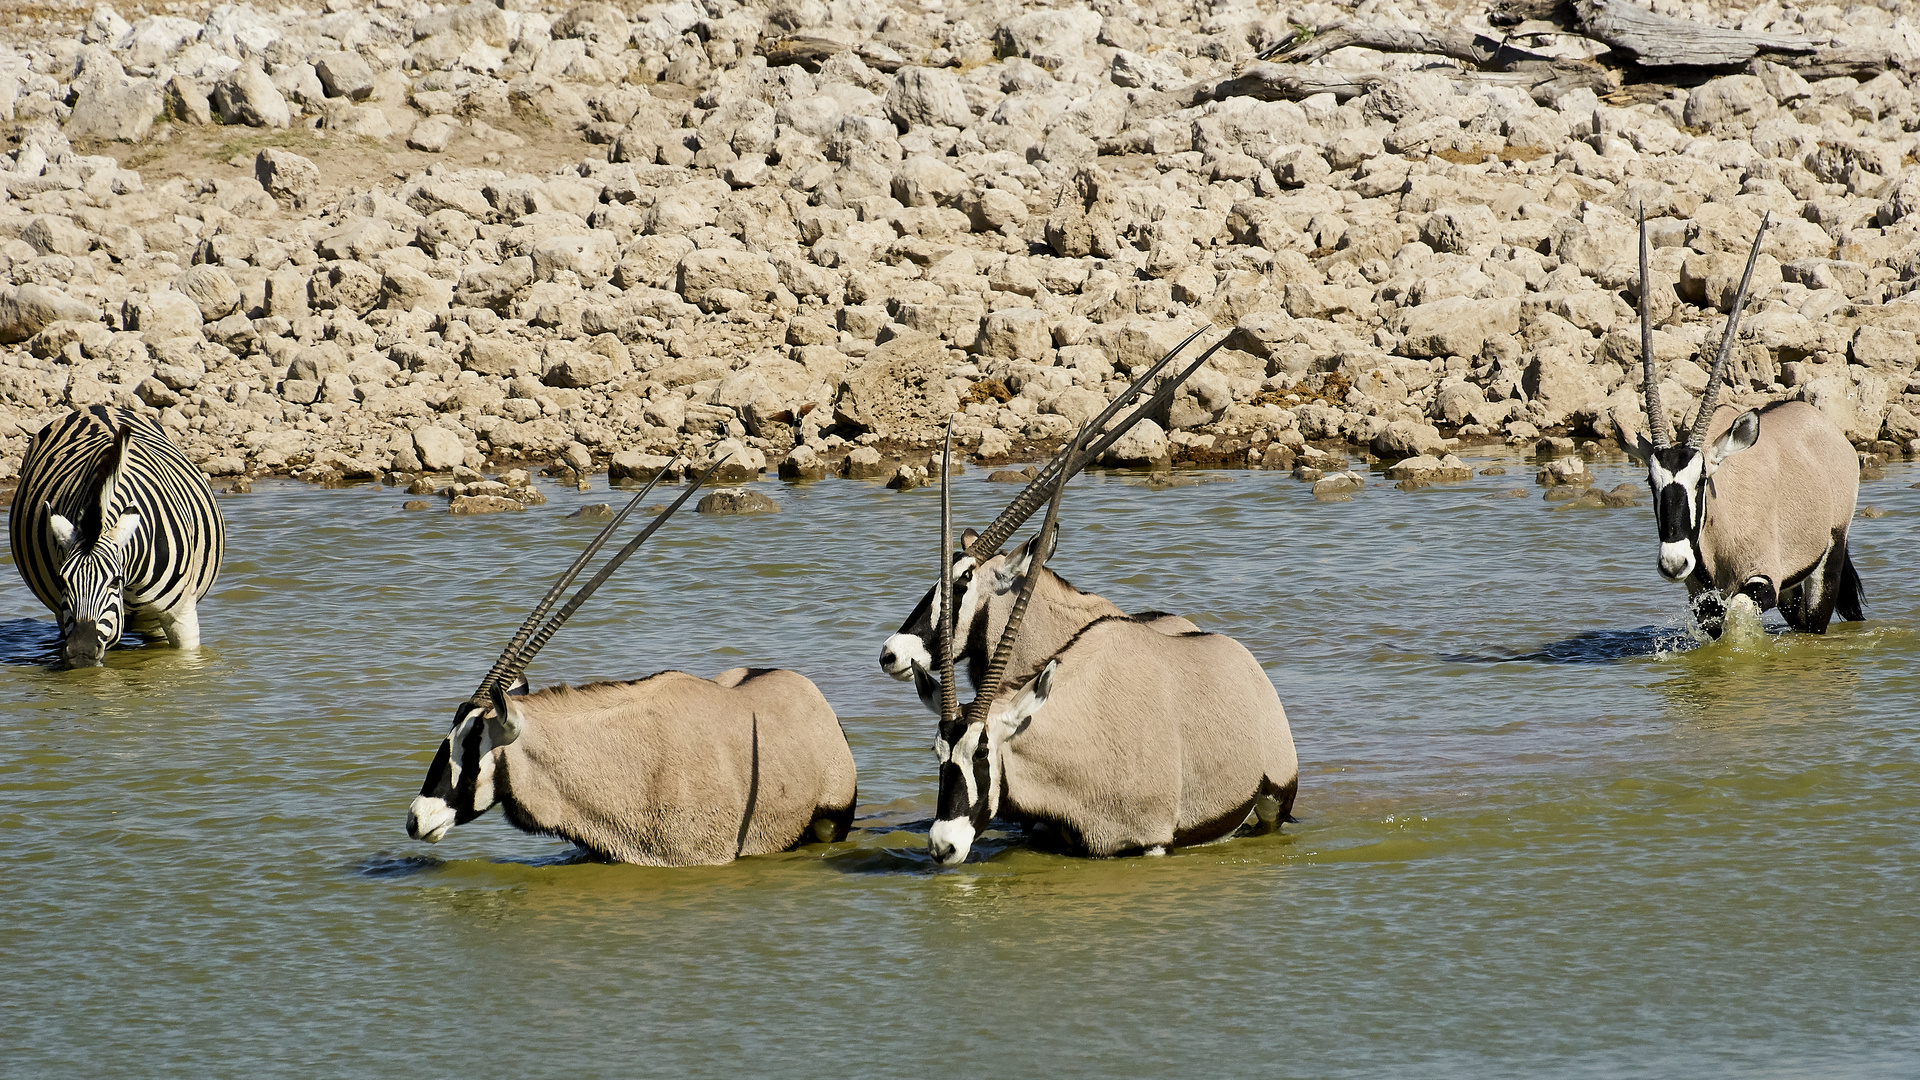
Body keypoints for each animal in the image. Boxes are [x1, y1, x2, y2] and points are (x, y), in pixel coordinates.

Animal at [917, 424, 1305, 860]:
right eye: (937, 753)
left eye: (982, 752)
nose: (943, 845)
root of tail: (1243, 657)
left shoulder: (1153, 843)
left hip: (1274, 798)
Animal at [1620, 209, 1858, 630]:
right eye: (1651, 481)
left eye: (1701, 480)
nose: (1674, 562)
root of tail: (1825, 429)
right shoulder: (1703, 597)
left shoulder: (1762, 580)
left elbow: (1741, 613)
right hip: (1792, 591)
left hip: (1825, 562)